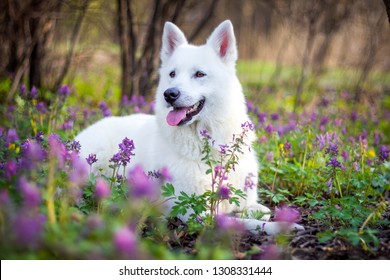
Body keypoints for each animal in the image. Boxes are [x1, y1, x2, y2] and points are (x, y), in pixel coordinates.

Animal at [75, 20, 302, 234]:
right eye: (172, 74)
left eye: (199, 74)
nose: (169, 94)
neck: (207, 144)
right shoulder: (197, 212)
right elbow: (245, 222)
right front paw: (283, 227)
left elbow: (260, 210)